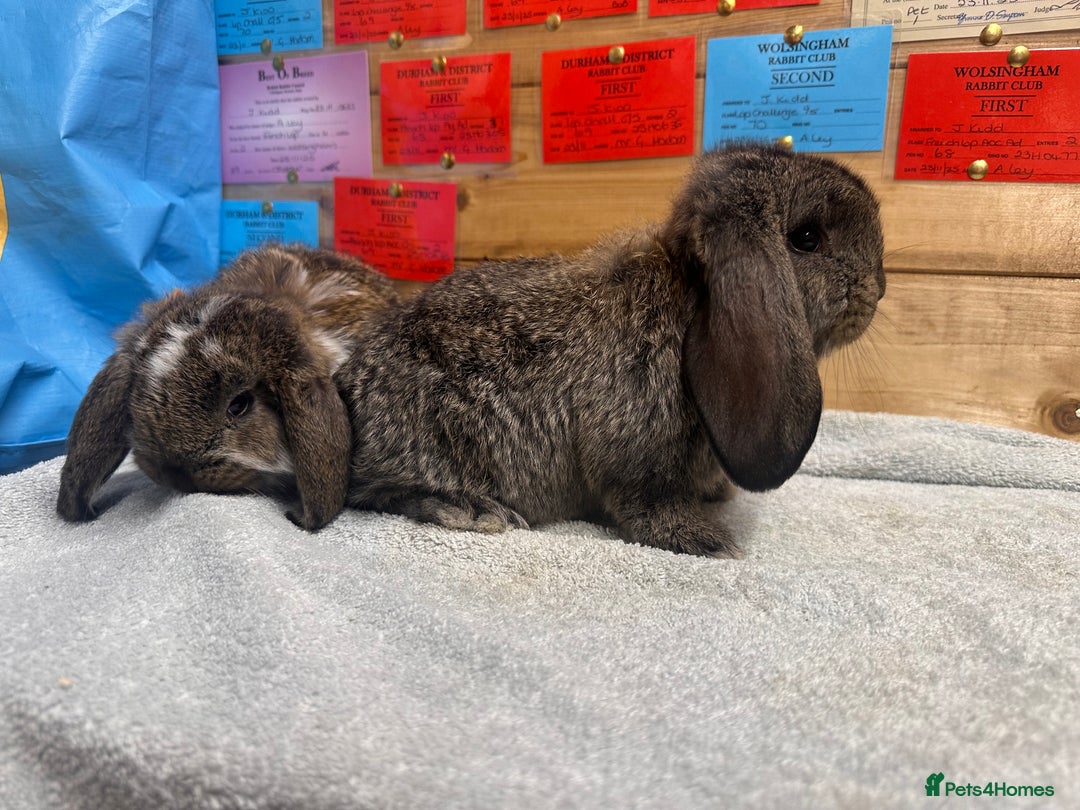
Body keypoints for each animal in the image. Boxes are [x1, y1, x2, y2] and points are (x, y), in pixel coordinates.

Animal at [327, 145, 886, 557]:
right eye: (806, 238)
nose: (877, 290)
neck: (690, 300)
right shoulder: (638, 456)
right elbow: (644, 506)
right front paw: (705, 541)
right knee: (373, 493)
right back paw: (473, 510)